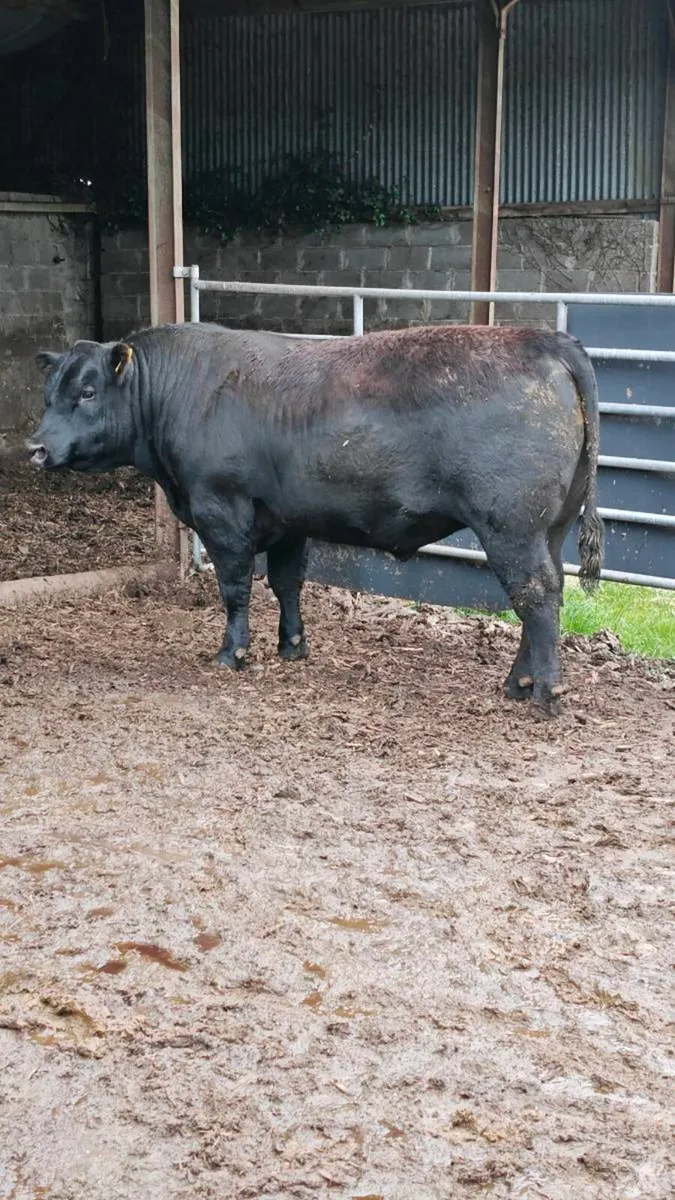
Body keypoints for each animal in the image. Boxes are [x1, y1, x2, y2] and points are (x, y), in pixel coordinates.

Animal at [27, 322, 604, 713]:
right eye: (50, 393)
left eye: (87, 392)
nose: (35, 447)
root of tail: (544, 339)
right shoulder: (288, 521)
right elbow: (287, 583)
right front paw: (293, 647)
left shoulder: (221, 512)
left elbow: (236, 588)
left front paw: (232, 653)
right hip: (549, 528)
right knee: (546, 593)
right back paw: (517, 683)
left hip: (510, 526)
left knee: (536, 596)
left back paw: (544, 692)